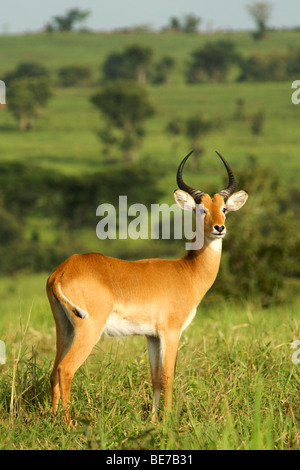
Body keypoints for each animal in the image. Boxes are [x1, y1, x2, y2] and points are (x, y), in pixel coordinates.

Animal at [47, 151, 248, 422]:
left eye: (224, 208)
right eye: (201, 209)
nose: (219, 228)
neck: (187, 272)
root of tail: (63, 270)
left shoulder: (151, 336)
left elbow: (154, 378)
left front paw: (152, 419)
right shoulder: (170, 332)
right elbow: (168, 376)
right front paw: (168, 420)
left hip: (64, 328)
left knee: (53, 371)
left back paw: (52, 418)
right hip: (88, 329)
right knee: (65, 370)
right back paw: (69, 424)